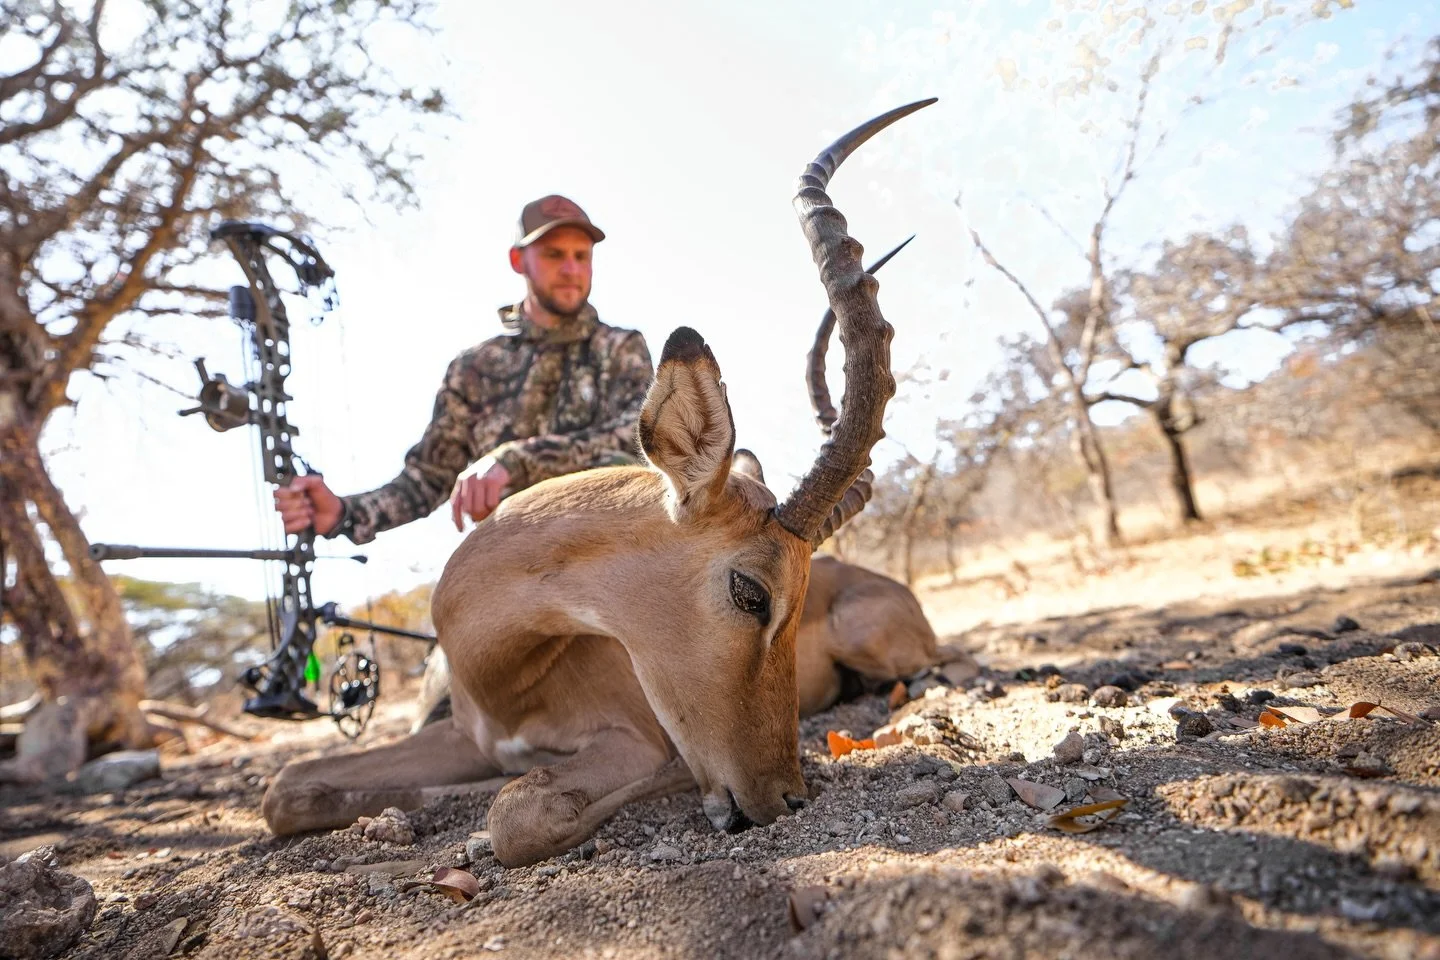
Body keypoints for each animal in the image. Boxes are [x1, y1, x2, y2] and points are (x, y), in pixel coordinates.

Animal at [260, 97, 938, 867]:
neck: (507, 670)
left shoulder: (632, 741)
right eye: (751, 591)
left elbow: (518, 808)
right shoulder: (460, 736)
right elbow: (287, 787)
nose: (788, 799)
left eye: (794, 596)